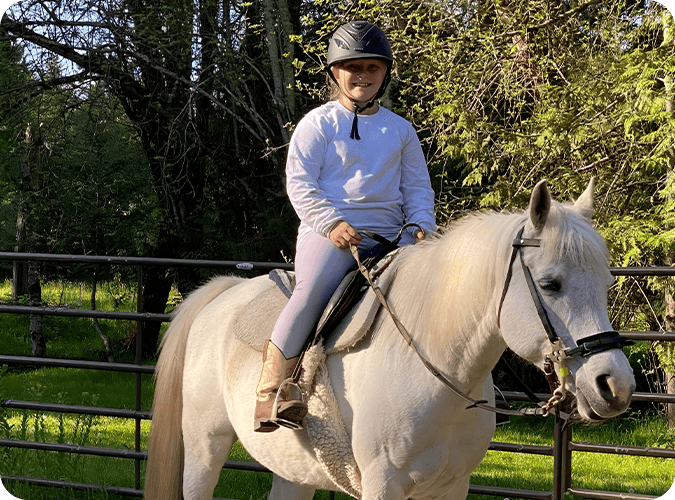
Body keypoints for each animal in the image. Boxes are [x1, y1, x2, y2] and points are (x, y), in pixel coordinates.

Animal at [145, 181, 636, 500]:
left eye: (607, 283)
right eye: (551, 284)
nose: (615, 386)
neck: (434, 370)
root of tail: (221, 293)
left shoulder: (452, 487)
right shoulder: (384, 485)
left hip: (294, 472)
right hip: (205, 450)